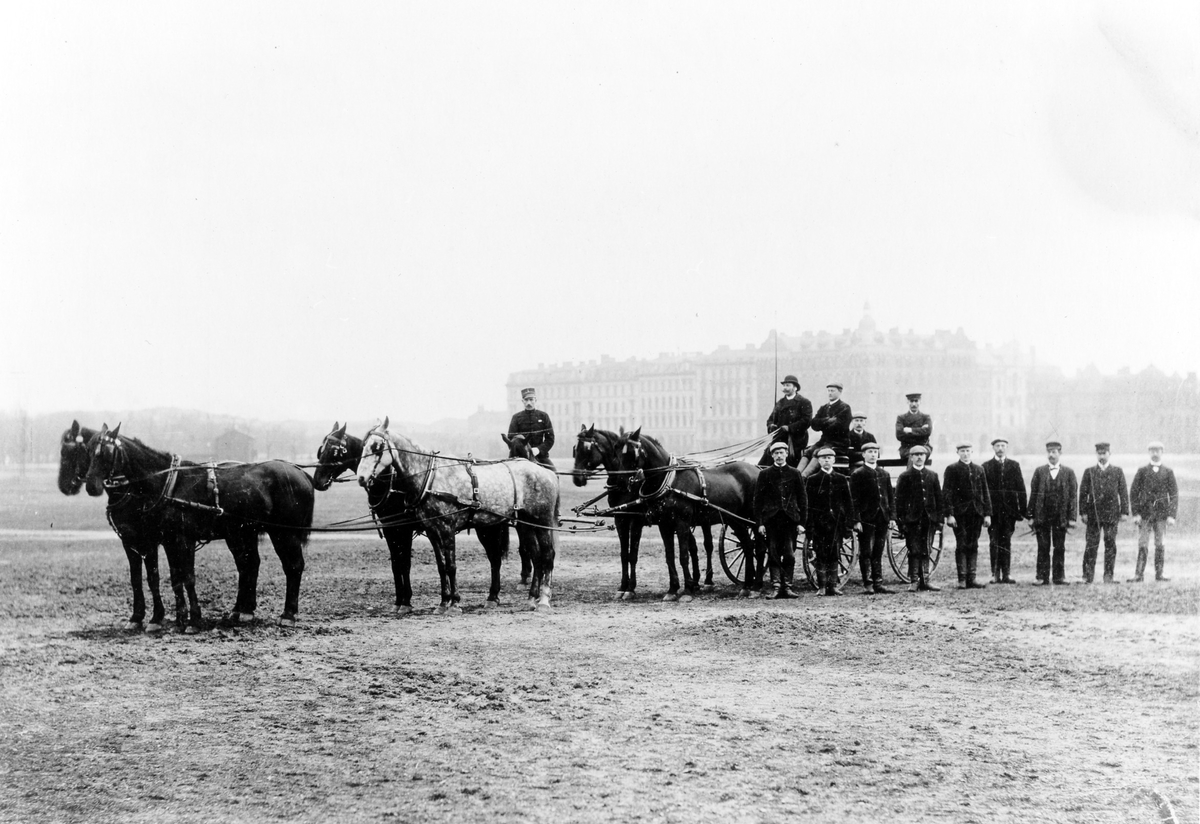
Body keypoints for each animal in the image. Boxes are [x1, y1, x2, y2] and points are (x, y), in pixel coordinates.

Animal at [57, 422, 171, 633]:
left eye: (70, 451)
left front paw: (156, 618)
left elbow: (153, 578)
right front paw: (136, 617)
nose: (64, 486)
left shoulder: (149, 542)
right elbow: (135, 579)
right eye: (89, 451)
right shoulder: (128, 541)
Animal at [86, 424, 316, 633]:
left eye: (106, 453)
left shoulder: (180, 540)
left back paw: (288, 615)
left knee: (293, 566)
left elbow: (187, 578)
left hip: (284, 533)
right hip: (242, 533)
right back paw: (242, 611)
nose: (90, 486)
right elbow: (173, 578)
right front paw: (176, 618)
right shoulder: (165, 541)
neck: (169, 484)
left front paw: (193, 620)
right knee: (249, 565)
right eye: (88, 451)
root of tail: (301, 472)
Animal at [357, 419, 559, 611]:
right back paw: (530, 598)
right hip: (523, 524)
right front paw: (443, 602)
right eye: (363, 445)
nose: (361, 477)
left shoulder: (443, 528)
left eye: (377, 447)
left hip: (542, 521)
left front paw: (453, 603)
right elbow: (440, 566)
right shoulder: (431, 530)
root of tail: (545, 472)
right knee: (534, 556)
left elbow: (450, 565)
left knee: (547, 555)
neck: (430, 479)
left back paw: (543, 600)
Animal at [614, 429, 763, 597]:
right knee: (748, 545)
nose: (620, 482)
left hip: (754, 519)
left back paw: (756, 585)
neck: (670, 481)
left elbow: (684, 556)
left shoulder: (682, 523)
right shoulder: (664, 524)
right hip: (735, 520)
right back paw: (747, 585)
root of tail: (757, 469)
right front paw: (672, 589)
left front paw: (687, 590)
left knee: (759, 547)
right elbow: (669, 556)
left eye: (631, 452)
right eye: (616, 451)